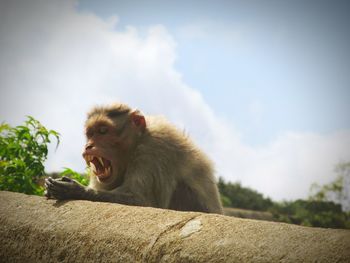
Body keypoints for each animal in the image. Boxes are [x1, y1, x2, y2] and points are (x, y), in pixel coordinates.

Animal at [45, 103, 223, 214]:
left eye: (103, 131)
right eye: (90, 134)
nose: (88, 146)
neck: (138, 140)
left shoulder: (154, 149)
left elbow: (143, 202)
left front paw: (76, 190)